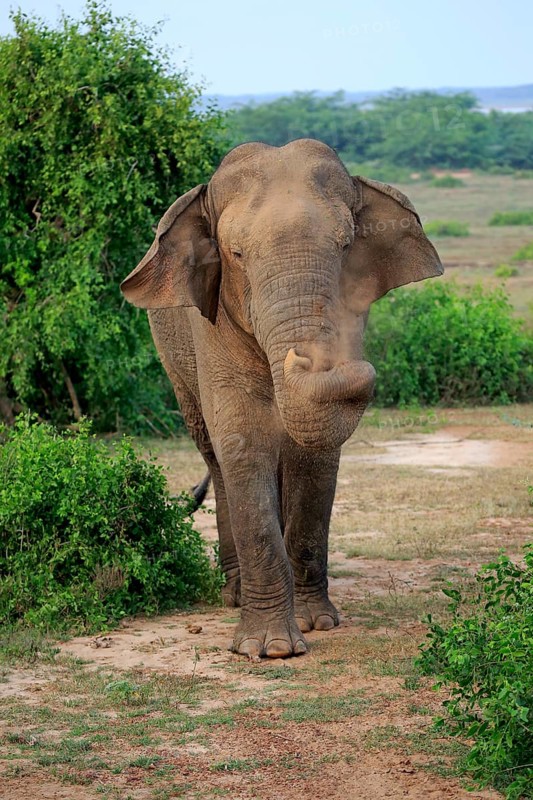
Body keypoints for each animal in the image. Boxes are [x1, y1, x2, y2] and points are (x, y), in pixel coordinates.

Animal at [121, 138, 443, 659]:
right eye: (235, 253)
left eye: (346, 247)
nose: (346, 363)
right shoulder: (212, 320)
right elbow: (244, 438)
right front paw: (270, 649)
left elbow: (315, 451)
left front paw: (317, 623)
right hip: (171, 356)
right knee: (215, 454)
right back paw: (233, 594)